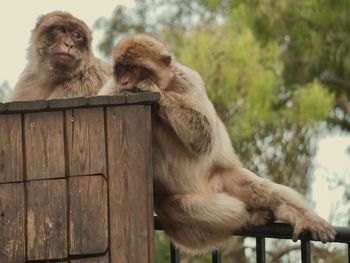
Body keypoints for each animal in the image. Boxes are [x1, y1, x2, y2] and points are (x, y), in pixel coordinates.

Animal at [99, 34, 336, 255]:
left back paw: (299, 216)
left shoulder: (188, 80)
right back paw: (250, 216)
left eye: (135, 68)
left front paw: (148, 87)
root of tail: (207, 188)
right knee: (181, 207)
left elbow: (204, 135)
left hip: (221, 177)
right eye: (121, 69)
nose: (126, 81)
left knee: (257, 187)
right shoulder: (111, 89)